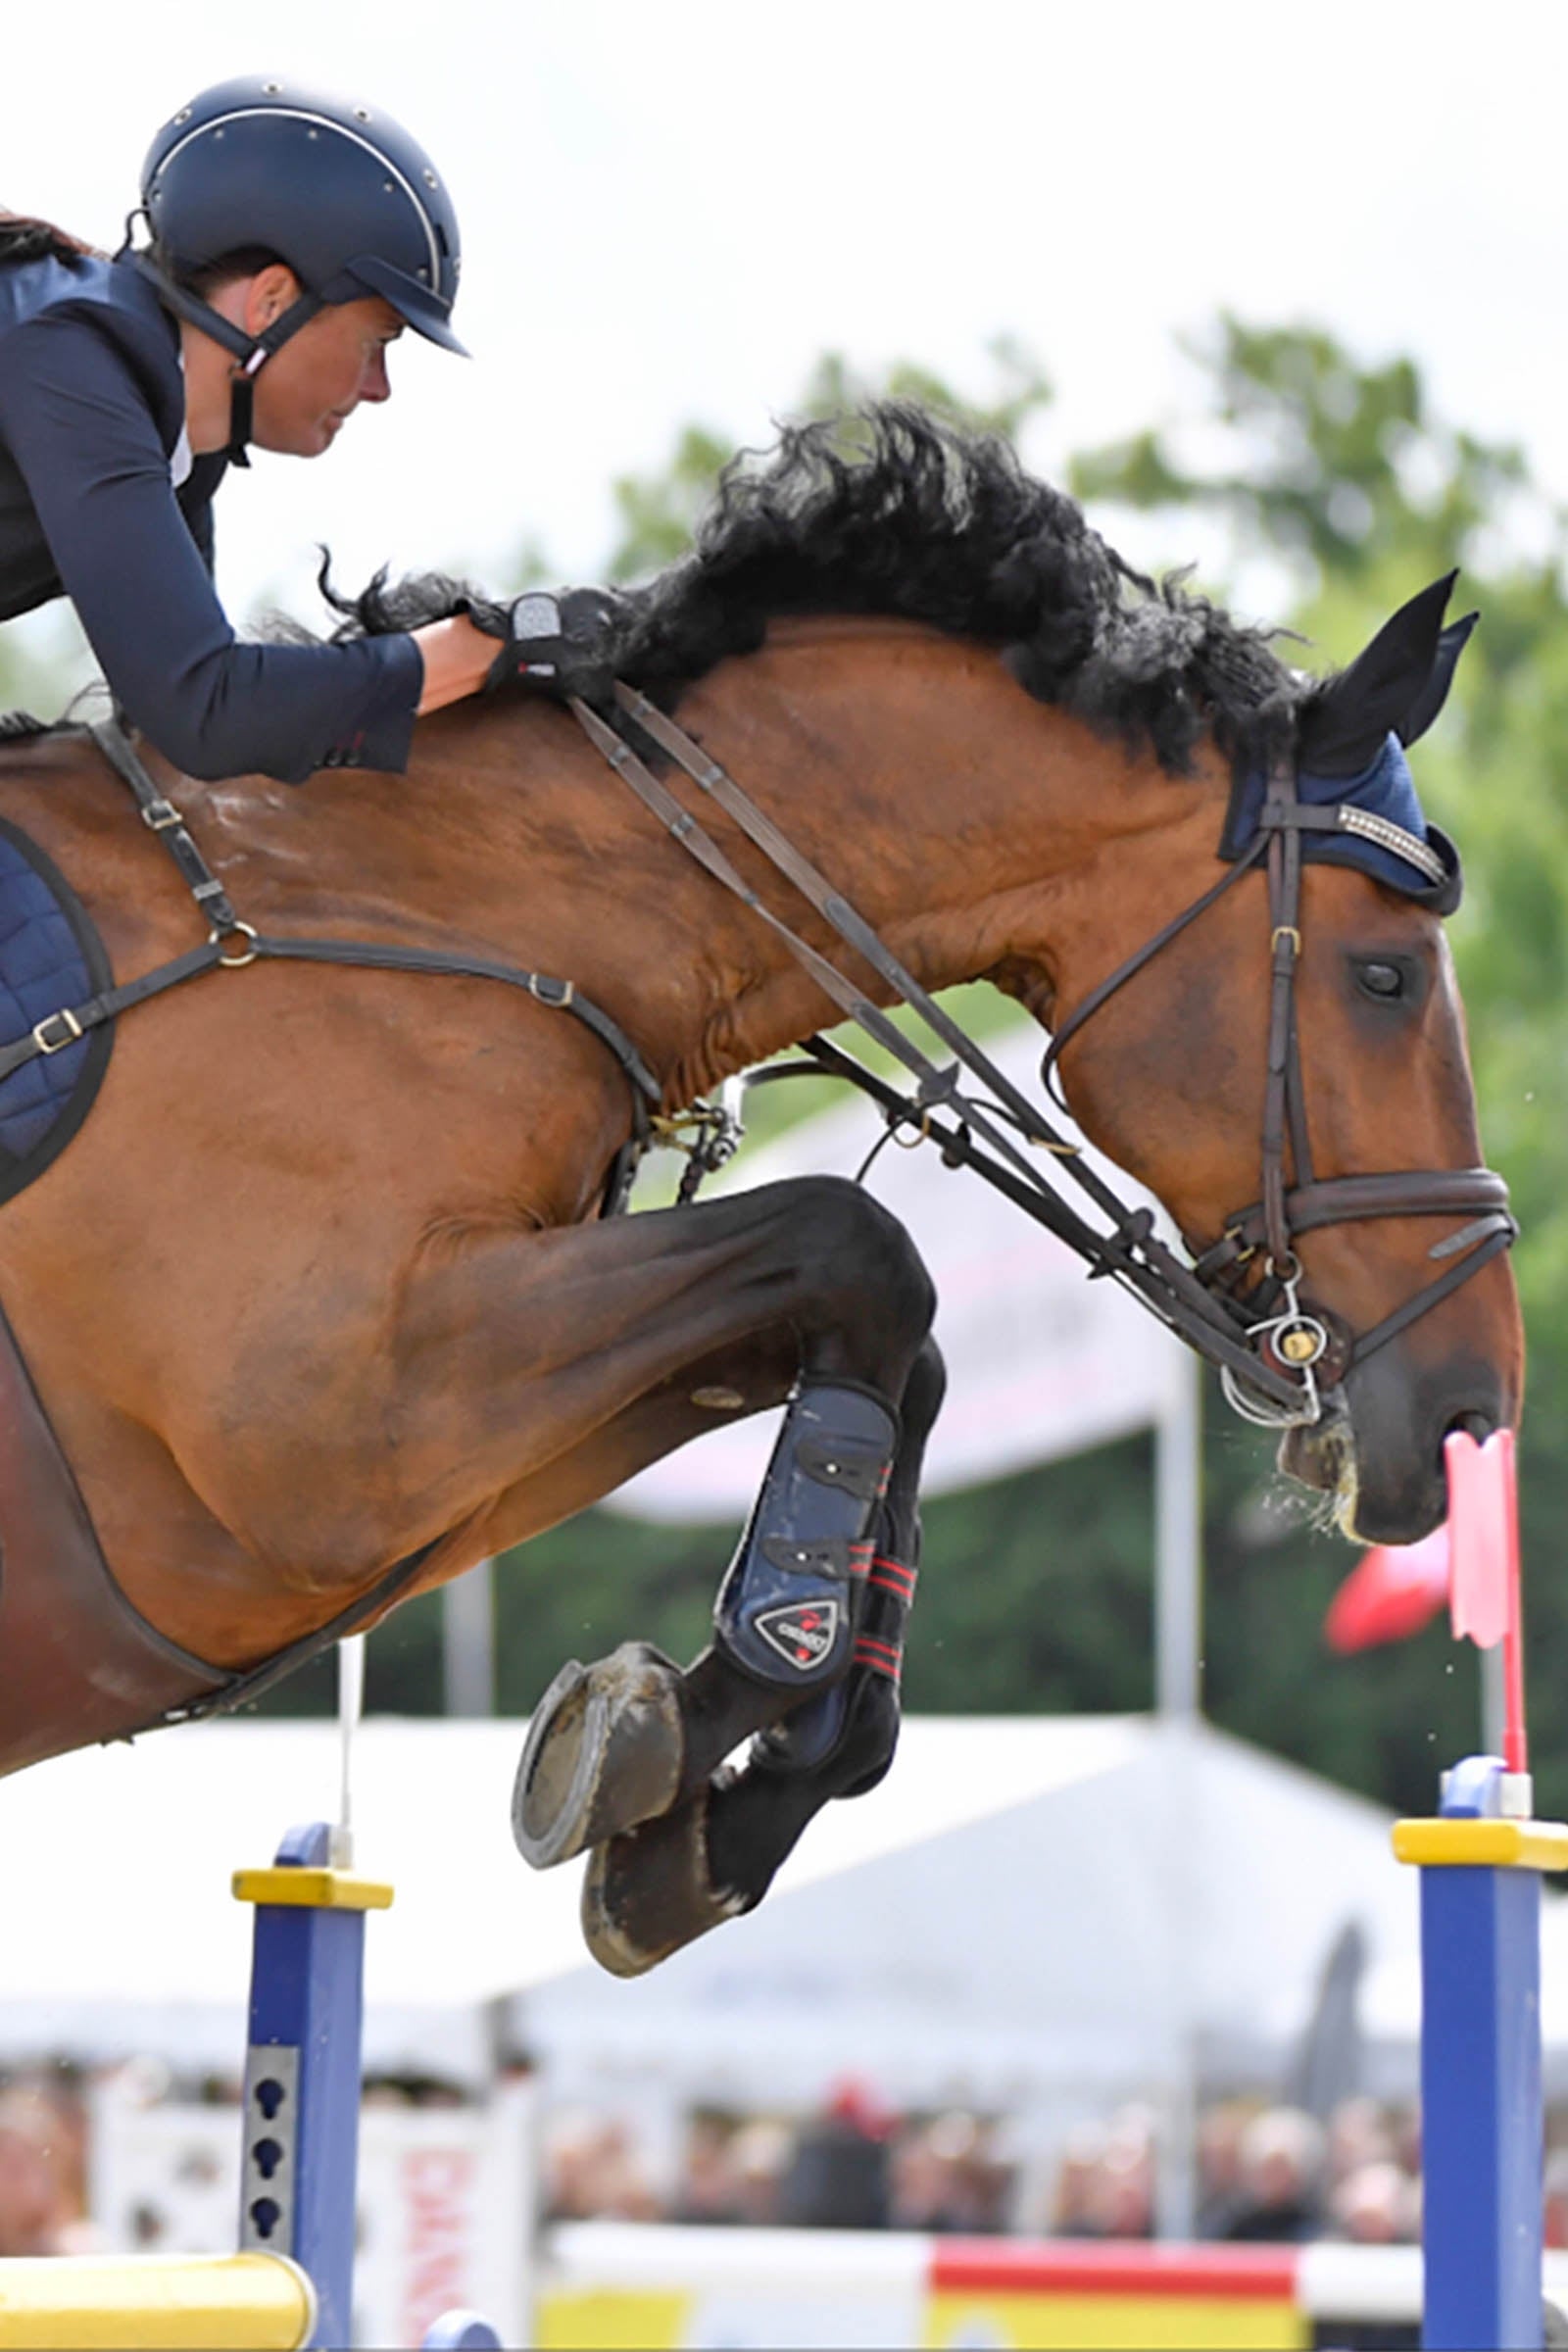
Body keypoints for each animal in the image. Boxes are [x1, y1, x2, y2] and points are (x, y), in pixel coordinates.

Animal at [0, 409, 1521, 1975]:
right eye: (1384, 978)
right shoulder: (329, 1431)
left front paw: (726, 1806)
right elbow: (857, 1245)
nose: (1470, 1414)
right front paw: (682, 1720)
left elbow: (892, 1370)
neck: (440, 907)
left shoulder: (449, 1459)